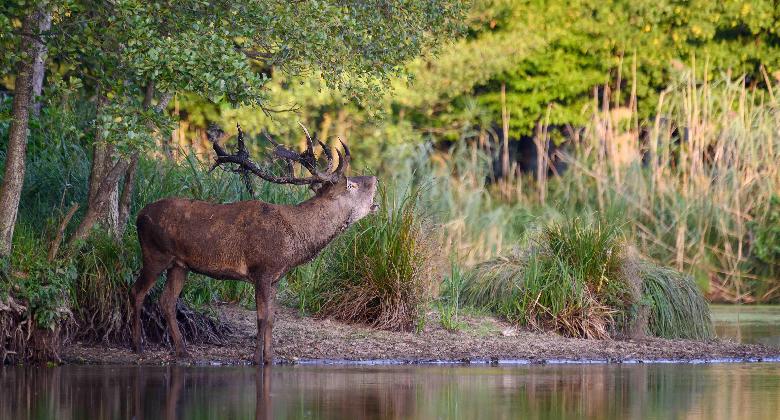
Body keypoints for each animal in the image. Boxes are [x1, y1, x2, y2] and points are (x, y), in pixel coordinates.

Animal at [129, 124, 378, 364]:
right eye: (351, 186)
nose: (375, 178)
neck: (294, 241)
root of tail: (138, 216)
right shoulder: (262, 270)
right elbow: (261, 318)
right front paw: (257, 359)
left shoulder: (276, 277)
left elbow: (272, 319)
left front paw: (270, 358)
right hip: (154, 253)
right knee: (137, 291)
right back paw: (137, 345)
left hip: (179, 265)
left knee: (167, 301)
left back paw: (182, 351)